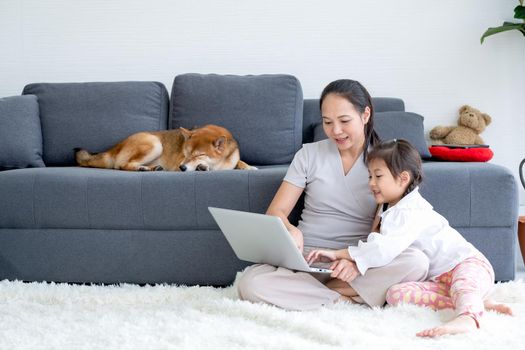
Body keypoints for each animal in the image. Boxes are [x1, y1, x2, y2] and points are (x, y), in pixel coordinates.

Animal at [74, 124, 254, 172]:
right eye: (185, 153)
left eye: (198, 155)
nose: (181, 167)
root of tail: (115, 146)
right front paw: (202, 167)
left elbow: (240, 162)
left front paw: (249, 166)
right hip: (155, 144)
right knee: (122, 165)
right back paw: (143, 168)